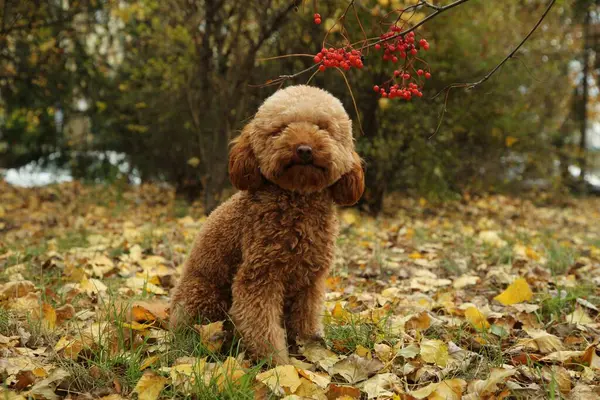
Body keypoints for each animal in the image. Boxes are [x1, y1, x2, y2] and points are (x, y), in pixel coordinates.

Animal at [170, 86, 366, 364]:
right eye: (281, 128)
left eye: (323, 127)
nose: (304, 149)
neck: (298, 199)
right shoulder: (260, 277)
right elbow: (261, 328)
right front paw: (278, 365)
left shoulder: (309, 283)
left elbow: (305, 322)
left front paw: (309, 353)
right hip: (206, 295)